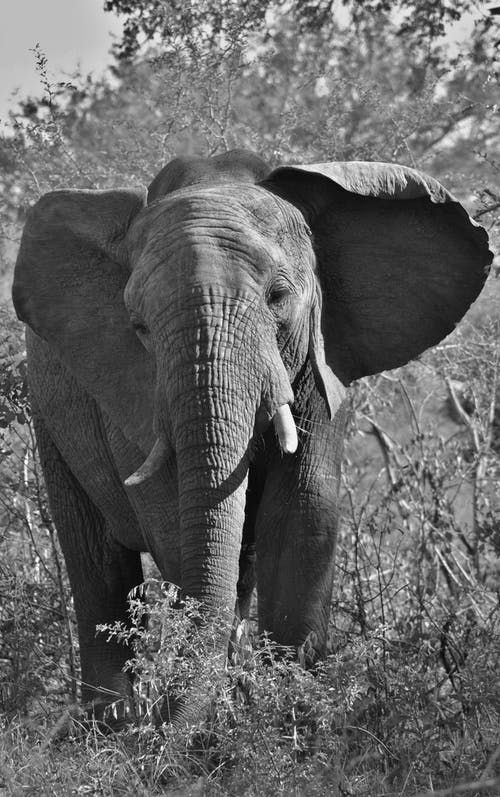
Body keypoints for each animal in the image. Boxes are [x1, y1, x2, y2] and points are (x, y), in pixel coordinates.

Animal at [10, 148, 492, 720]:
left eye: (278, 296)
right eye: (138, 326)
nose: (174, 716)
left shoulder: (320, 360)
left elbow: (301, 513)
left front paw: (289, 714)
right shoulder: (131, 386)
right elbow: (174, 523)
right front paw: (212, 716)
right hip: (49, 413)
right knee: (96, 562)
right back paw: (113, 722)